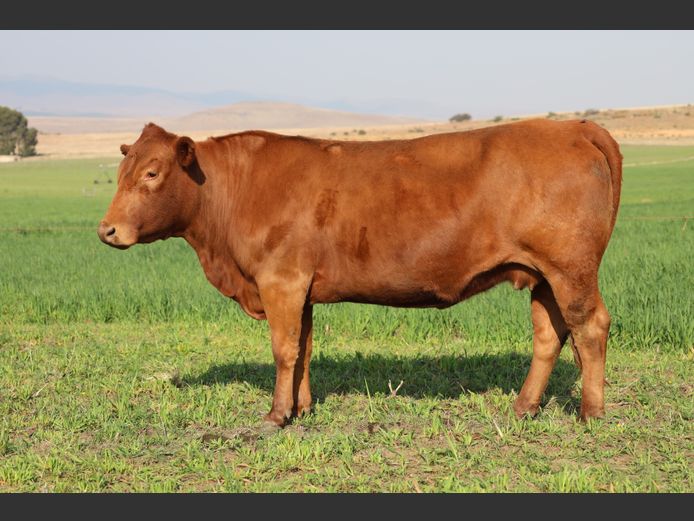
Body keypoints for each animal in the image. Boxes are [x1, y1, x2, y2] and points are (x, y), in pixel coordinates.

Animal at [98, 119, 622, 428]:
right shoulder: (301, 288)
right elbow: (305, 348)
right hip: (542, 275)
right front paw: (302, 408)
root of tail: (573, 125)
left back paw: (591, 412)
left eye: (152, 173)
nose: (107, 230)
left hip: (570, 270)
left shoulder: (281, 281)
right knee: (550, 333)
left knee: (590, 326)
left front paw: (276, 415)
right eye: (122, 170)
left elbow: (284, 350)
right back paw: (524, 406)